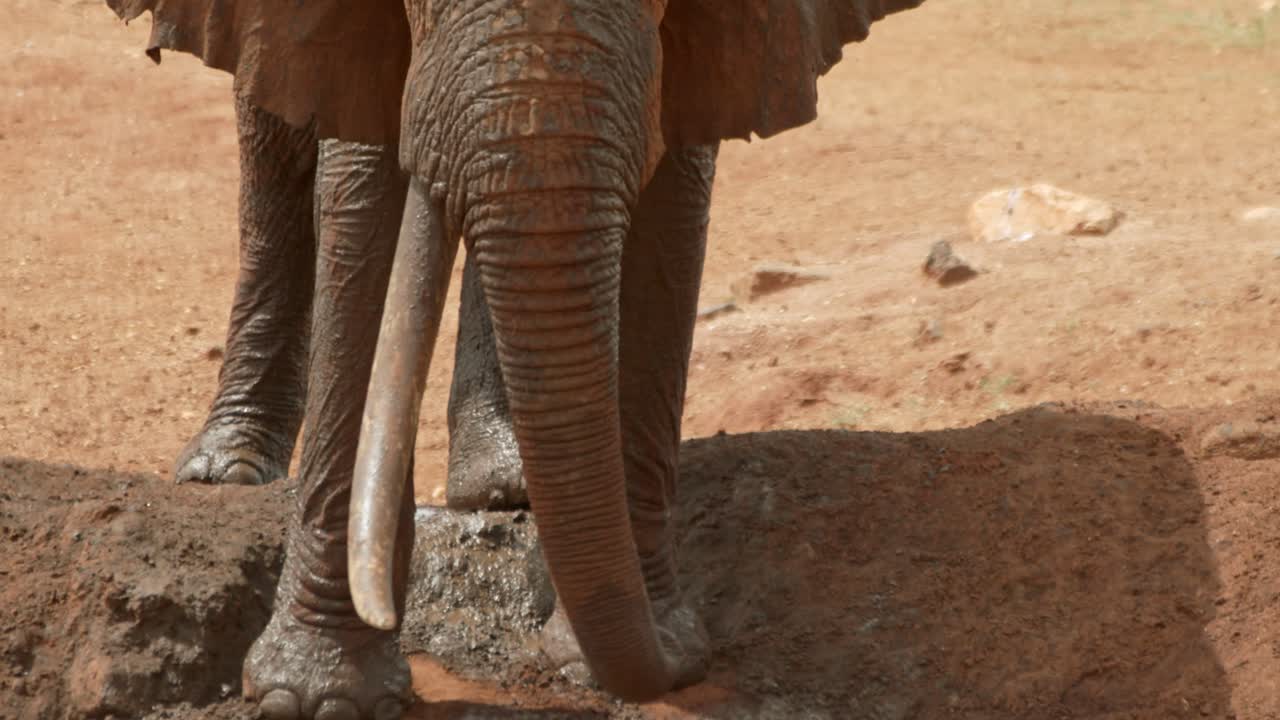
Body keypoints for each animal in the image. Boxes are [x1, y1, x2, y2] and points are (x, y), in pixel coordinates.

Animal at [103, 0, 925, 717]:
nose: (679, 665)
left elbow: (672, 207)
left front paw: (623, 646)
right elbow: (363, 195)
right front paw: (315, 698)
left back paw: (504, 483)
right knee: (273, 140)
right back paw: (227, 467)